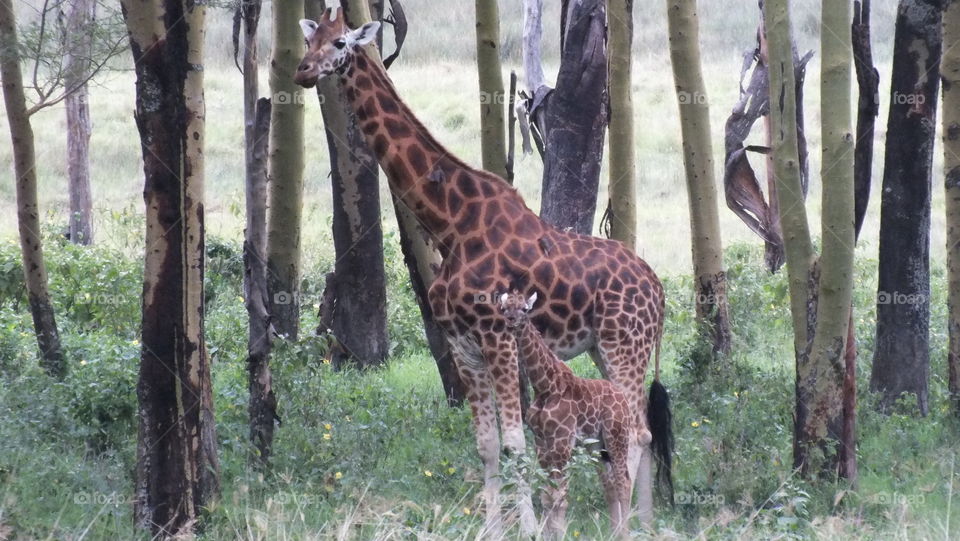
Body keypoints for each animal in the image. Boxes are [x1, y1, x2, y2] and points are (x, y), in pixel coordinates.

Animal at [499, 291, 640, 540]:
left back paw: (624, 534)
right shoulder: (542, 442)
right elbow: (547, 496)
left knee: (623, 481)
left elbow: (560, 497)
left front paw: (560, 533)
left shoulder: (562, 441)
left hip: (616, 436)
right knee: (610, 484)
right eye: (504, 308)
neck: (545, 386)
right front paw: (546, 534)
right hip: (596, 447)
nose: (511, 321)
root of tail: (623, 399)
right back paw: (612, 533)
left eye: (525, 309)